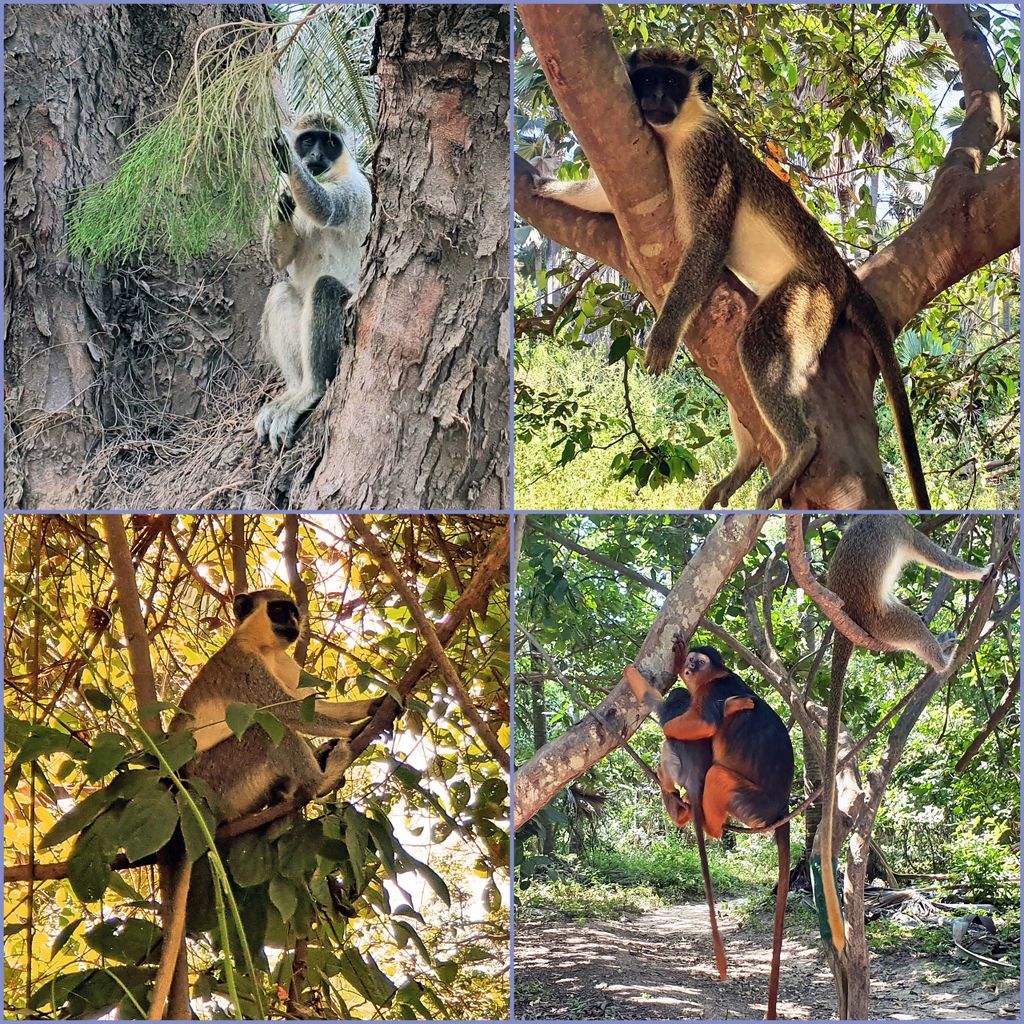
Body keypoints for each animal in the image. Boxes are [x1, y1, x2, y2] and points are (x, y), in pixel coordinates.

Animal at [256, 112, 372, 452]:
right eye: (309, 140)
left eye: (330, 142)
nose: (316, 157)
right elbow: (277, 260)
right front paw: (284, 202)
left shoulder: (355, 190)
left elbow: (328, 208)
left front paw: (286, 156)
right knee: (282, 292)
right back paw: (295, 391)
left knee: (325, 289)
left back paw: (311, 391)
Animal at [536, 48, 929, 512]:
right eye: (647, 79)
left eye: (671, 83)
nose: (656, 99)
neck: (678, 130)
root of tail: (840, 272)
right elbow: (603, 199)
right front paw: (546, 186)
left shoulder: (705, 155)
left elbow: (710, 239)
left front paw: (665, 333)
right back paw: (747, 463)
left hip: (811, 296)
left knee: (759, 347)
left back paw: (798, 451)